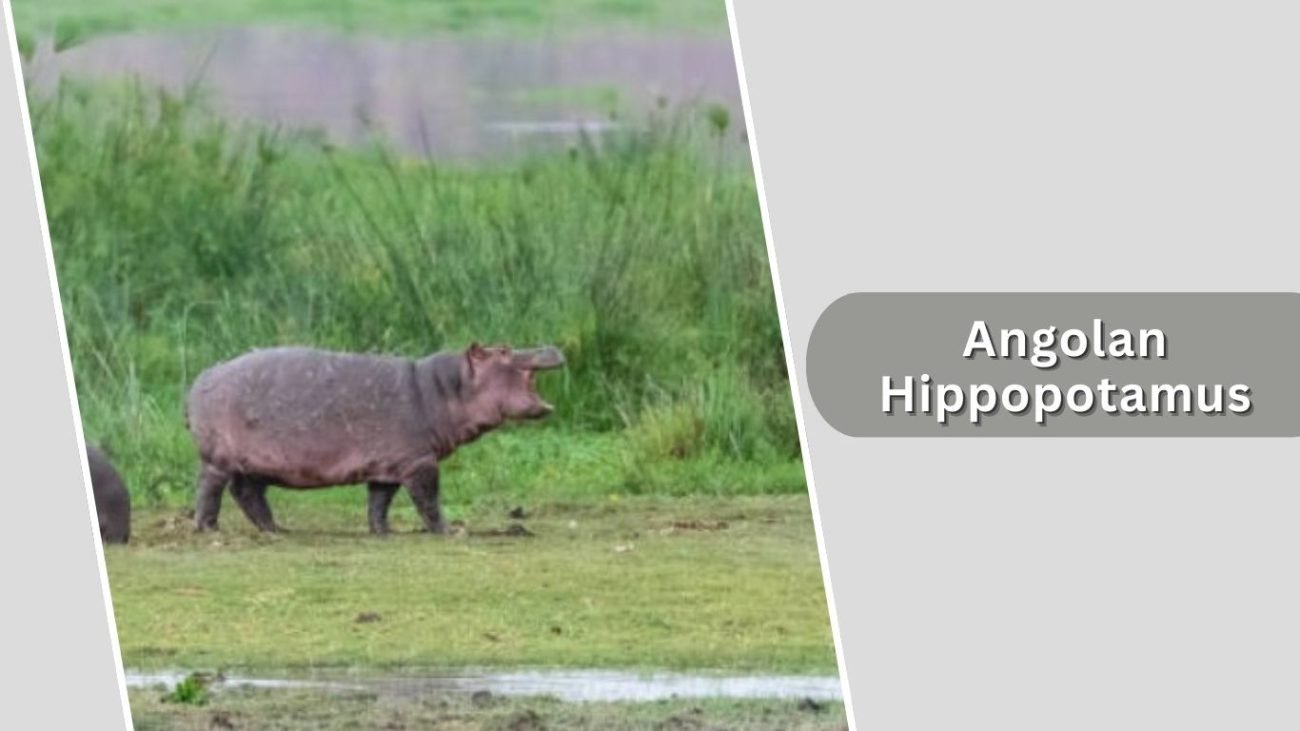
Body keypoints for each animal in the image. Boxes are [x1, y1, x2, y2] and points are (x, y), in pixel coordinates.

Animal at [185, 342, 565, 535]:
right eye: (503, 350)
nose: (551, 345)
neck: (447, 388)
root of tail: (200, 377)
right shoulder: (419, 462)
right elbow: (428, 500)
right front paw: (451, 530)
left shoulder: (390, 463)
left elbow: (380, 500)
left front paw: (383, 532)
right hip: (219, 457)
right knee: (210, 487)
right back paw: (210, 529)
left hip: (254, 463)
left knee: (248, 492)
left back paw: (277, 529)